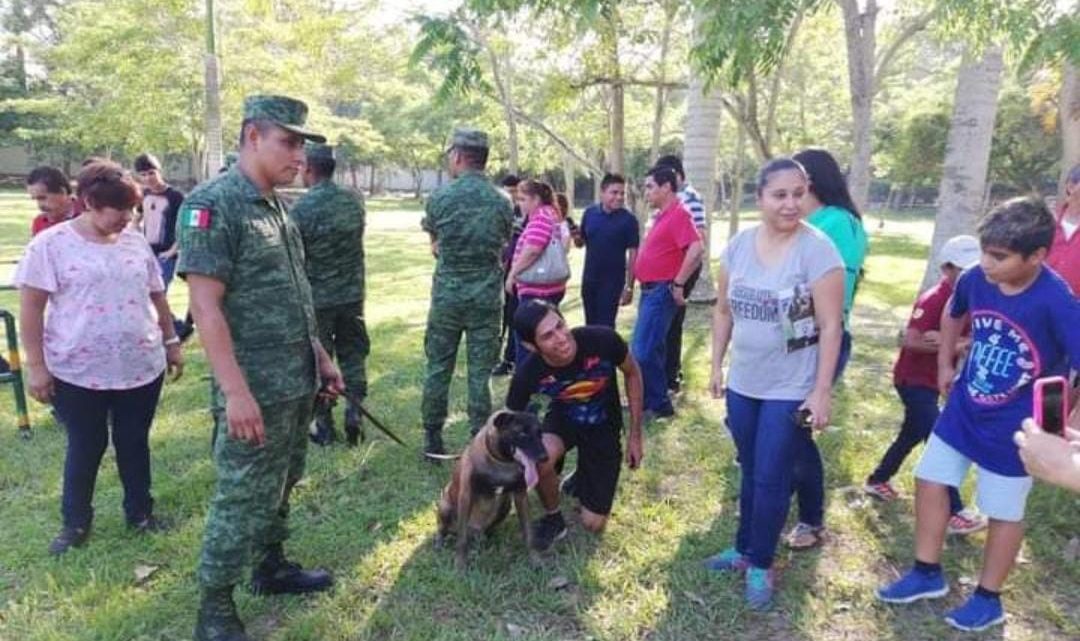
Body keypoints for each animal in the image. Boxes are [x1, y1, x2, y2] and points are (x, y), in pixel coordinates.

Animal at [434, 405, 548, 565]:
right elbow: (462, 540)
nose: (545, 457)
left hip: (505, 505)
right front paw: (460, 563)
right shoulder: (466, 497)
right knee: (445, 529)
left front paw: (534, 558)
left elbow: (528, 532)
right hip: (445, 506)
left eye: (540, 433)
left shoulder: (521, 496)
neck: (501, 462)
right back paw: (440, 541)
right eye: (522, 433)